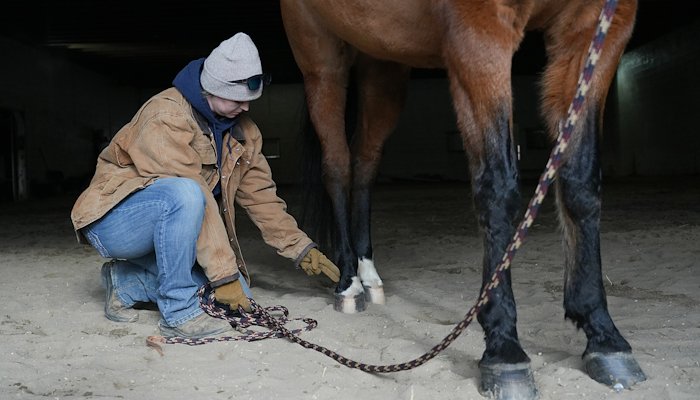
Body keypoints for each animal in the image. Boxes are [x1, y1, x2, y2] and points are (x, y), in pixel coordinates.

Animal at [280, 0, 645, 398]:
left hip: (382, 62)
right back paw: (348, 282)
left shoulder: (598, 27)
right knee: (337, 166)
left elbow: (580, 181)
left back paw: (368, 274)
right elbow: (498, 185)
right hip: (321, 59)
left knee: (365, 164)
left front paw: (604, 336)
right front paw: (504, 348)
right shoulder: (479, 33)